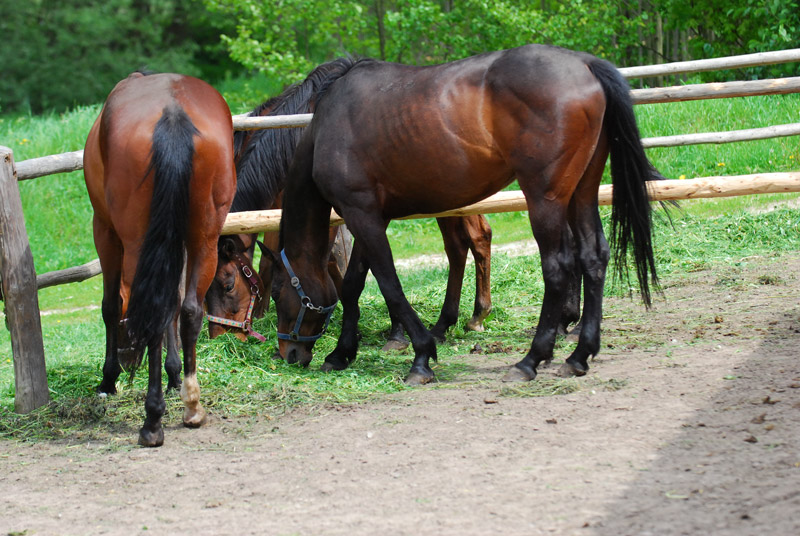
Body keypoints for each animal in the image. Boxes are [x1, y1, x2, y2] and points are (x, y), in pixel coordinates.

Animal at [84, 72, 236, 448]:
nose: (127, 361)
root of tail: (172, 114)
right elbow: (177, 306)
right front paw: (175, 374)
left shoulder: (104, 231)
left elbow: (110, 306)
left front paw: (108, 380)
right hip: (204, 238)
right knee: (188, 310)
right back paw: (192, 405)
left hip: (135, 239)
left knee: (154, 309)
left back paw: (152, 421)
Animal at [205, 58, 494, 354]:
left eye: (227, 285)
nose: (220, 336)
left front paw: (392, 332)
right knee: (459, 246)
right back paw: (452, 321)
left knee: (475, 238)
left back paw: (474, 316)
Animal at [274, 44, 664, 384]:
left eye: (277, 292)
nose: (289, 354)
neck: (328, 126)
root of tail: (585, 63)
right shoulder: (370, 216)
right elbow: (354, 284)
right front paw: (341, 354)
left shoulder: (361, 215)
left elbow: (389, 285)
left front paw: (421, 356)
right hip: (581, 192)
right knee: (593, 257)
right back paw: (580, 355)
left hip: (546, 199)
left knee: (557, 267)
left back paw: (530, 360)